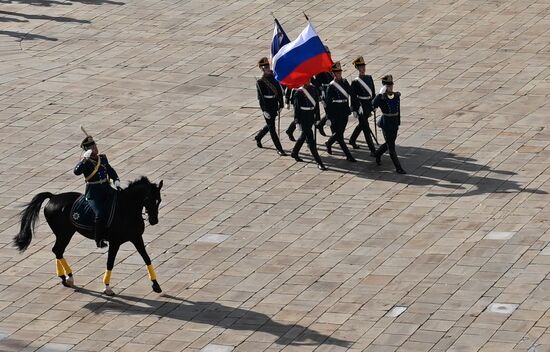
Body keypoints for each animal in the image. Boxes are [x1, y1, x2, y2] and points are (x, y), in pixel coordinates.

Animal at [12, 177, 163, 296]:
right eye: (148, 198)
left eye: (159, 200)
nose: (154, 220)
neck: (126, 209)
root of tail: (53, 197)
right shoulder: (115, 242)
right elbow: (110, 263)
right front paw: (107, 288)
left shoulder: (136, 238)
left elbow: (147, 258)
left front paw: (156, 285)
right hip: (64, 234)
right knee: (57, 250)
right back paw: (67, 278)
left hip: (65, 234)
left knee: (58, 251)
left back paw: (66, 278)